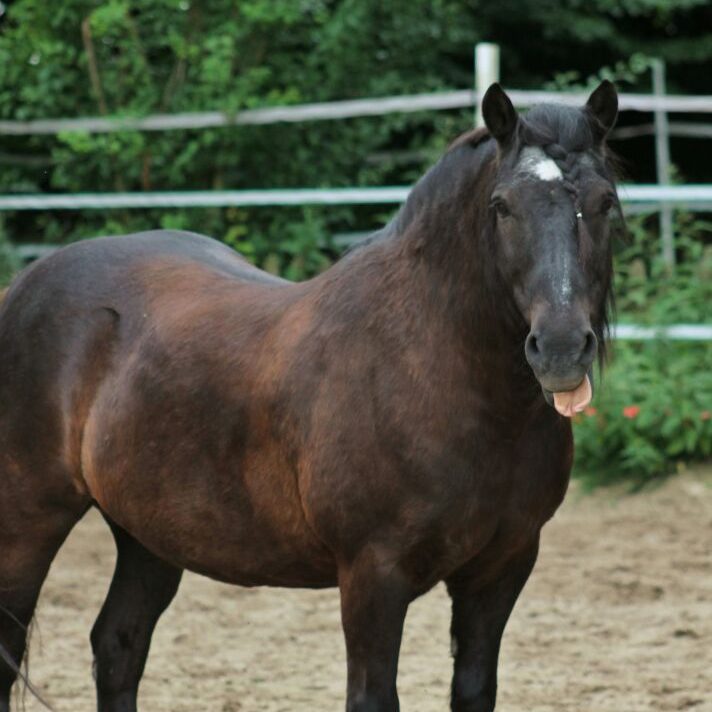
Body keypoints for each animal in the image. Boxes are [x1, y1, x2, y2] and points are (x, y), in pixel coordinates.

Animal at [0, 81, 619, 712]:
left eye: (605, 202)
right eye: (502, 206)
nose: (561, 347)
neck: (435, 368)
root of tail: (24, 285)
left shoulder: (502, 568)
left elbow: (474, 690)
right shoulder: (374, 575)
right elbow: (372, 695)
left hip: (147, 535)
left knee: (118, 647)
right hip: (27, 525)